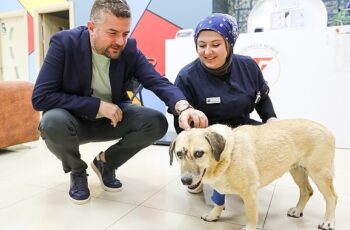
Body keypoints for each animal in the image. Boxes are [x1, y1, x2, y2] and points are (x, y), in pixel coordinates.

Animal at [171, 118, 338, 230]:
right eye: (179, 154)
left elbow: (251, 215)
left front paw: (249, 227)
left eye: (199, 153)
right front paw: (214, 215)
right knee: (306, 191)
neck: (229, 154)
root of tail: (326, 128)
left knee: (332, 197)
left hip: (320, 173)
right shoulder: (220, 186)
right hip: (297, 170)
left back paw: (328, 221)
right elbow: (218, 201)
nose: (185, 180)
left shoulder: (250, 193)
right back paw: (297, 211)